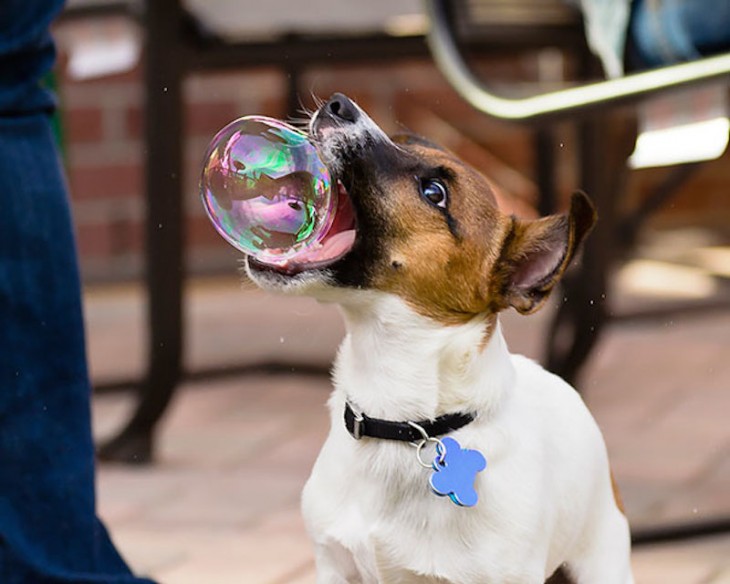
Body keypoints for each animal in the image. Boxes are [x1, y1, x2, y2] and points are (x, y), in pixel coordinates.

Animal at [246, 93, 632, 580]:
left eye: (434, 193)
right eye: (403, 142)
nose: (338, 103)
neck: (400, 420)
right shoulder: (334, 565)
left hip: (601, 558)